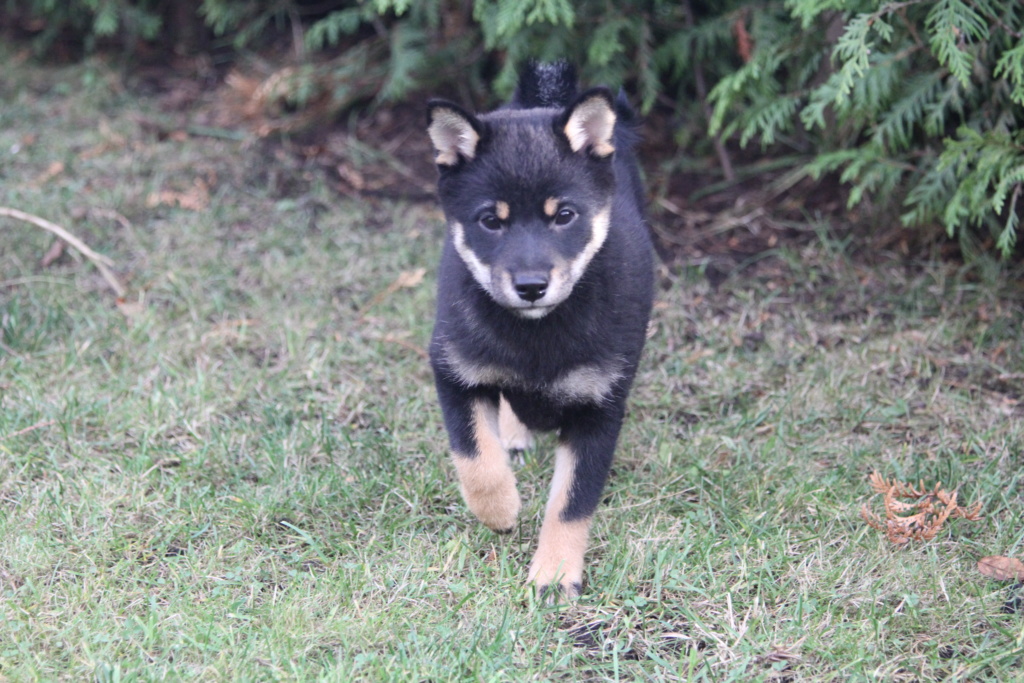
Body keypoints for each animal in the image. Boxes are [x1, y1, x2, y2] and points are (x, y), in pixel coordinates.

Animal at [425, 63, 655, 598]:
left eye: (564, 216)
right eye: (491, 221)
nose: (531, 286)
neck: (538, 334)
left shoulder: (600, 408)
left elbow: (571, 503)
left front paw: (554, 574)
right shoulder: (453, 370)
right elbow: (475, 457)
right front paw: (500, 510)